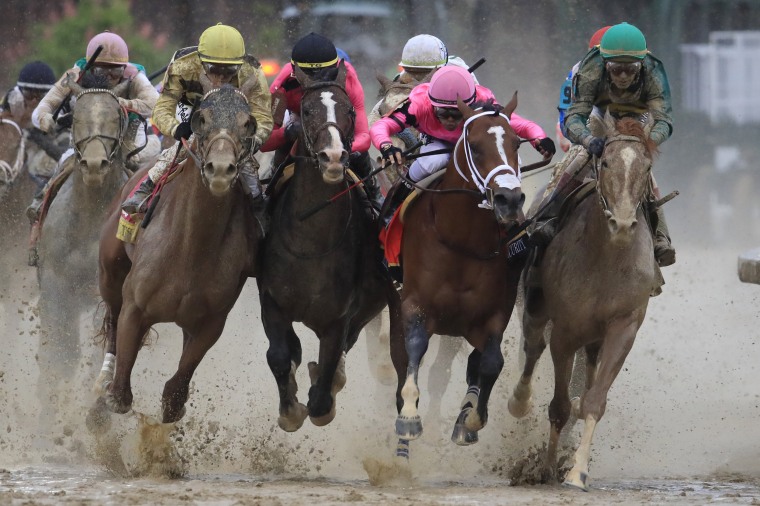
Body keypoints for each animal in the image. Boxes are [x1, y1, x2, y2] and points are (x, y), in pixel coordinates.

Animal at [94, 80, 262, 426]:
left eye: (247, 123)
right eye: (201, 119)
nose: (221, 169)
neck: (190, 248)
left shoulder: (210, 322)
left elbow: (174, 395)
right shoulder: (135, 306)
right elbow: (120, 395)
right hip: (109, 272)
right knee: (112, 320)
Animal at [256, 60, 400, 430]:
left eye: (350, 110)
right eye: (306, 110)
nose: (333, 157)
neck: (311, 240)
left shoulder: (340, 316)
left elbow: (323, 394)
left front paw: (321, 391)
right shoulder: (271, 300)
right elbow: (280, 354)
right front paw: (290, 410)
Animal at [394, 96, 532, 458]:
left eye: (517, 143)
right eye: (475, 146)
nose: (509, 199)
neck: (461, 242)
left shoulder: (494, 312)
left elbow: (491, 362)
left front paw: (470, 420)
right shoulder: (414, 303)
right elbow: (414, 347)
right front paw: (409, 418)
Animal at [508, 113, 664, 490]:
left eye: (647, 166)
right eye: (605, 162)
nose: (622, 223)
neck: (606, 256)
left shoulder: (624, 324)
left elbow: (593, 401)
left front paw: (577, 471)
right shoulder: (566, 330)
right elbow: (559, 406)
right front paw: (547, 467)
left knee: (586, 367)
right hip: (534, 306)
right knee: (532, 348)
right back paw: (520, 401)